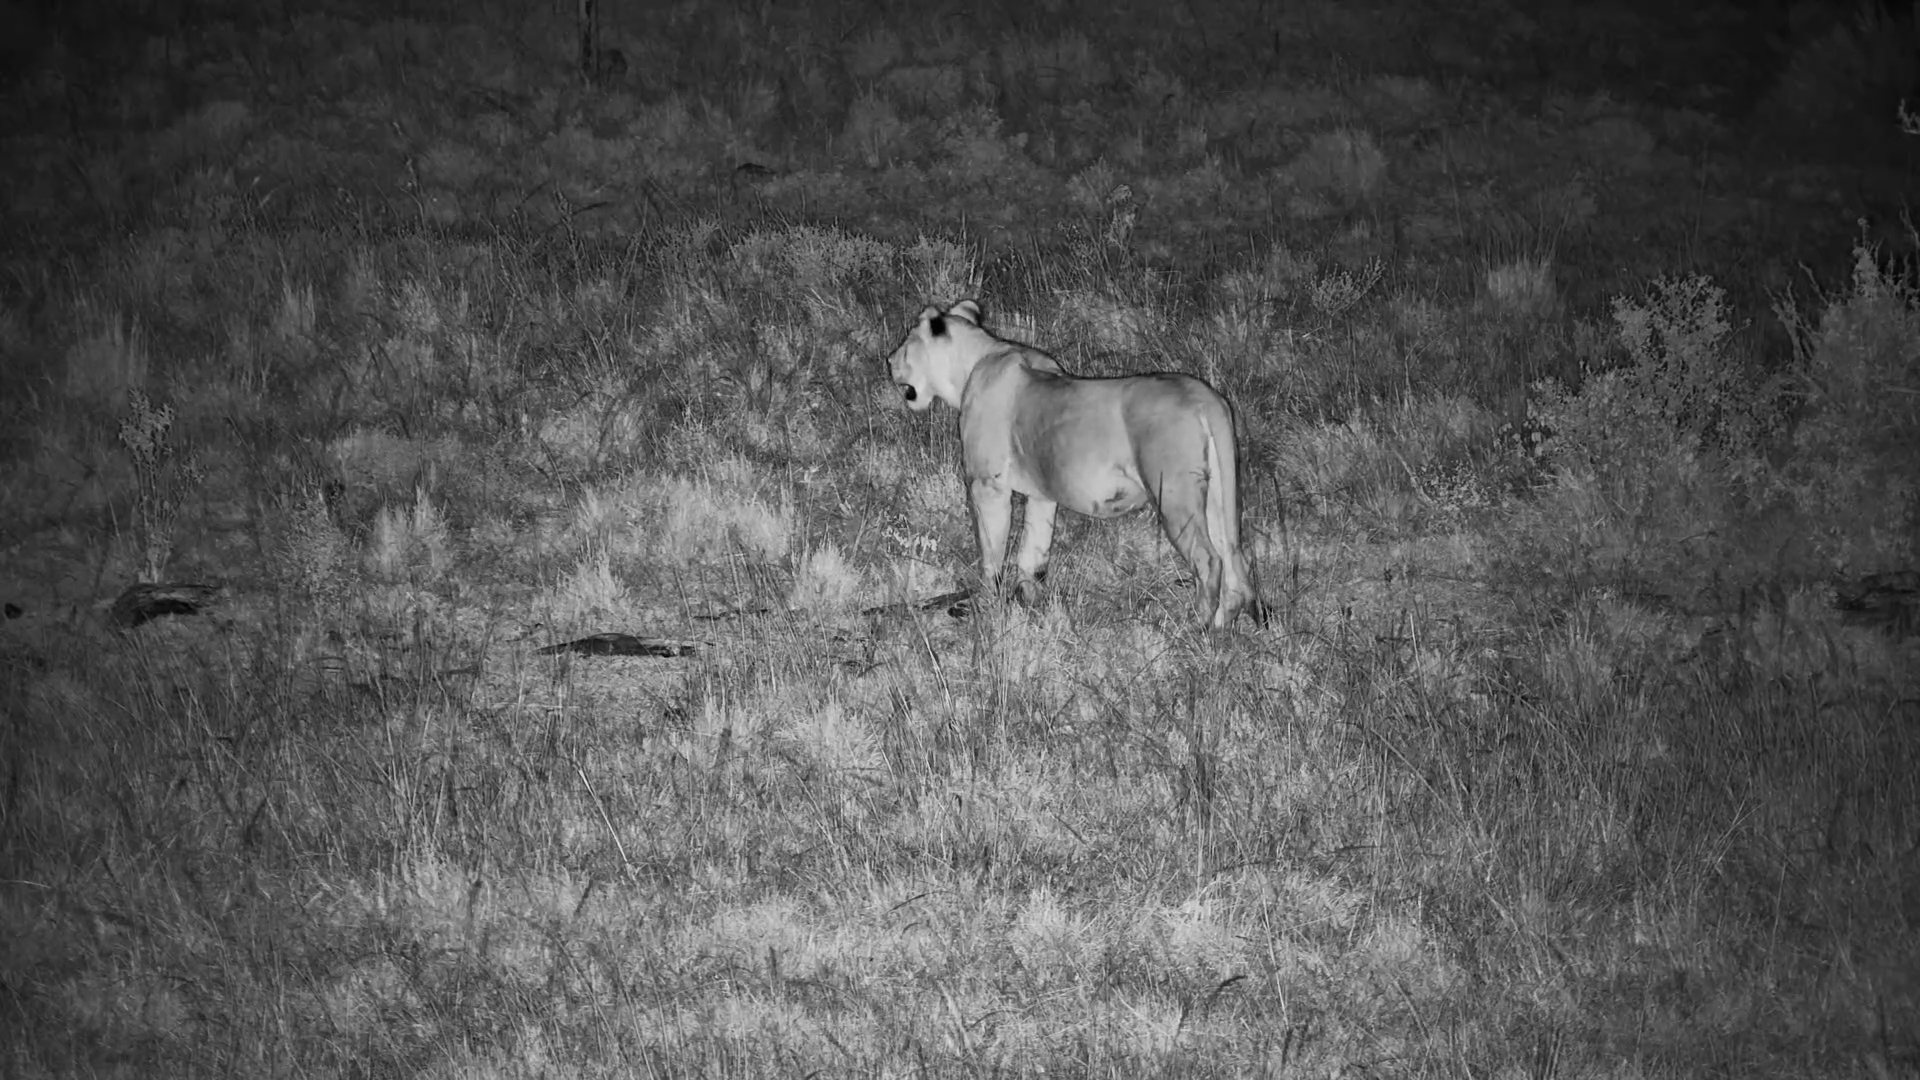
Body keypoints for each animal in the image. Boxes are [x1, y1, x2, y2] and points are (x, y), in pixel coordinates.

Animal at [886, 299, 1260, 629]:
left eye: (905, 345)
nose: (888, 361)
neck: (975, 360)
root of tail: (1206, 399)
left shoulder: (986, 485)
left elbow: (991, 554)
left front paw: (985, 606)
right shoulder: (1042, 494)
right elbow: (1032, 555)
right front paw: (1032, 605)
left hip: (1174, 493)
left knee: (1209, 560)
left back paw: (1196, 627)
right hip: (1217, 493)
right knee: (1233, 559)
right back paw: (1222, 627)